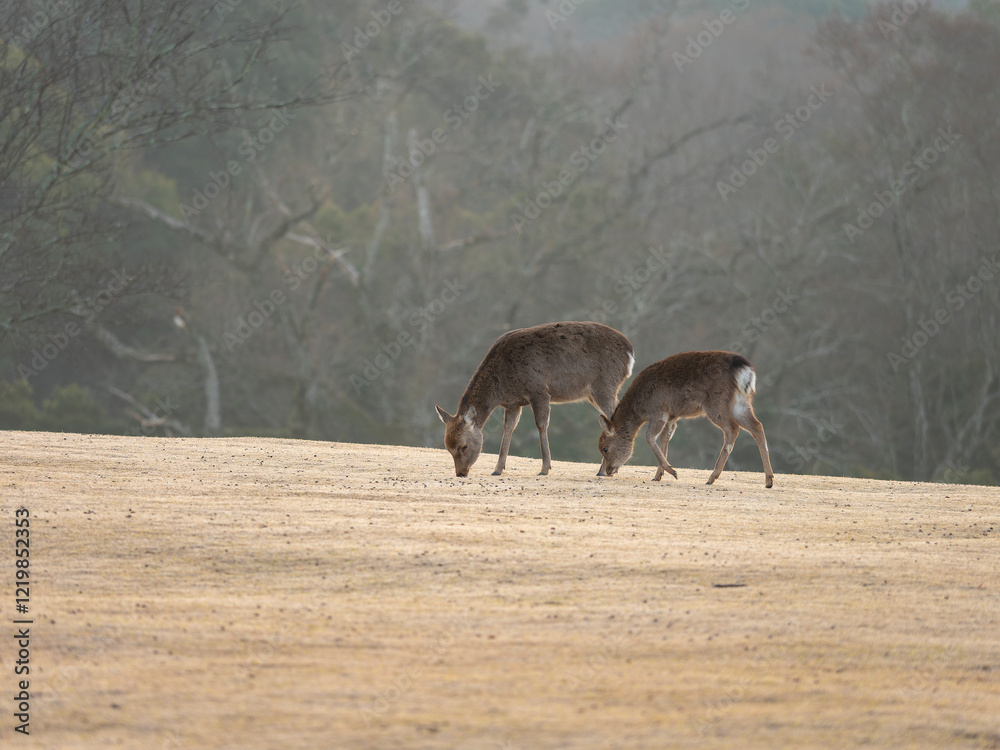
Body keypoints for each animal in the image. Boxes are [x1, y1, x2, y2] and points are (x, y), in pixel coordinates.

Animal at [432, 322, 632, 476]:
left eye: (463, 446)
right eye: (447, 447)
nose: (460, 473)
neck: (502, 385)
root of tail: (630, 353)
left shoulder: (539, 391)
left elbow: (541, 425)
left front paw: (545, 468)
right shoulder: (513, 403)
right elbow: (509, 428)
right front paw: (497, 469)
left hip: (605, 385)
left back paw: (603, 470)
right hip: (595, 393)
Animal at [596, 352, 776, 490]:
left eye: (605, 448)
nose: (608, 471)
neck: (639, 409)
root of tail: (745, 370)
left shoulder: (659, 412)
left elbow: (650, 437)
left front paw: (672, 471)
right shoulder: (672, 416)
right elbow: (665, 439)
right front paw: (658, 475)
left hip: (716, 404)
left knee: (733, 429)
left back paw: (712, 477)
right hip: (741, 402)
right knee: (757, 426)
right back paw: (769, 480)